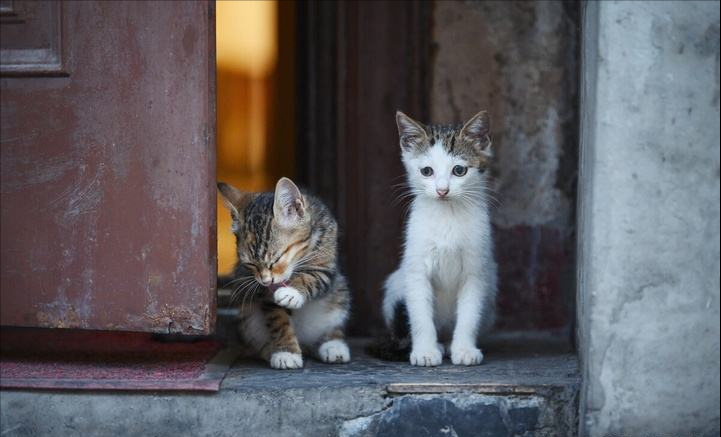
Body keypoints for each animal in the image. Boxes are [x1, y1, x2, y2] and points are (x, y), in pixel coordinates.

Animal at [219, 176, 352, 368]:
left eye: (277, 258)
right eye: (250, 264)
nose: (266, 281)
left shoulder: (325, 263)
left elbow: (312, 277)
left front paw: (291, 292)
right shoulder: (264, 295)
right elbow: (278, 321)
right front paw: (287, 352)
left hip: (339, 297)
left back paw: (333, 345)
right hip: (247, 317)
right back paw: (269, 350)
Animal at [382, 110, 496, 366]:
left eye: (459, 170)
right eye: (427, 171)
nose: (442, 191)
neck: (448, 215)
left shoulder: (476, 269)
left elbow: (470, 313)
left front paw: (464, 349)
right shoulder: (415, 267)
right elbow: (420, 314)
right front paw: (425, 351)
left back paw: (448, 344)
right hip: (396, 284)